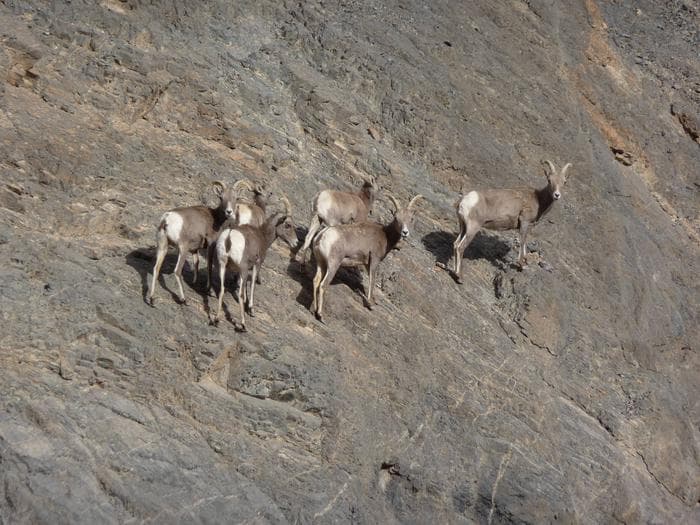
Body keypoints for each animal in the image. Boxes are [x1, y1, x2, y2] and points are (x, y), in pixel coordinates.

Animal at [212, 195, 298, 331]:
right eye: (288, 225)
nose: (296, 242)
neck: (262, 235)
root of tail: (229, 238)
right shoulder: (256, 265)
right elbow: (251, 285)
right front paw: (251, 310)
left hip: (222, 265)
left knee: (221, 289)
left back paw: (216, 319)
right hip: (242, 268)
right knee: (240, 294)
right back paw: (243, 325)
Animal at [310, 194, 423, 322]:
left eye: (411, 219)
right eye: (396, 218)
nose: (405, 232)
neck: (385, 235)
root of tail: (322, 236)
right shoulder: (374, 260)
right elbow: (372, 280)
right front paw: (370, 304)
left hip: (321, 264)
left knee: (316, 281)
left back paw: (314, 310)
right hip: (333, 265)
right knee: (323, 285)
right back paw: (321, 315)